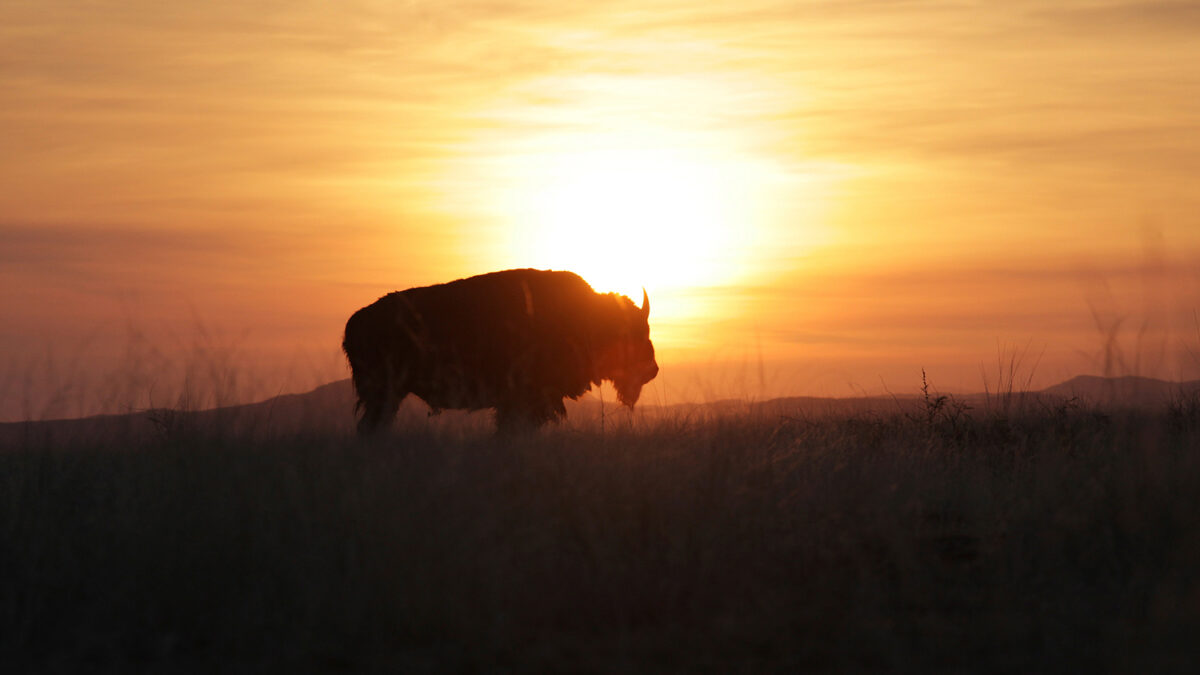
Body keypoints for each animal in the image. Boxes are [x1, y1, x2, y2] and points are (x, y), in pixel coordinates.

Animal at [343, 266, 662, 429]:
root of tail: (354, 323)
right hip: (384, 393)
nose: (652, 370)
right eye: (635, 331)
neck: (588, 316)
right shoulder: (522, 401)